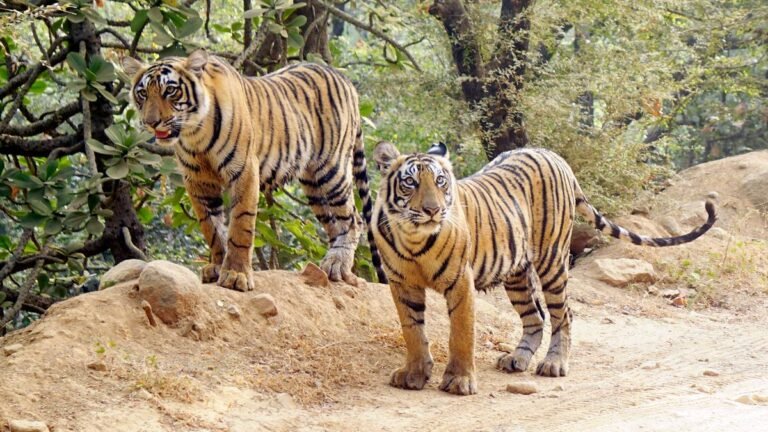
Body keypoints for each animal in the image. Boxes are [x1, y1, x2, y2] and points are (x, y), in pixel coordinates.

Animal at [121, 49, 386, 291]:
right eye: (143, 93)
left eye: (170, 91)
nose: (150, 122)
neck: (194, 133)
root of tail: (344, 79)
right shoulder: (198, 180)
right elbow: (212, 228)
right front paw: (217, 267)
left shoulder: (244, 171)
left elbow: (240, 225)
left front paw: (235, 275)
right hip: (314, 184)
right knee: (334, 223)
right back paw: (332, 265)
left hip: (331, 170)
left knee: (353, 218)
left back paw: (337, 265)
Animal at [371, 141, 716, 395]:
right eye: (411, 182)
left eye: (441, 182)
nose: (433, 210)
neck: (414, 238)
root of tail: (554, 155)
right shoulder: (402, 284)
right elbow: (412, 331)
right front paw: (414, 374)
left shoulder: (460, 283)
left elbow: (461, 333)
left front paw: (459, 381)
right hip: (516, 272)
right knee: (535, 316)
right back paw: (517, 358)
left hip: (552, 261)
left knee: (564, 315)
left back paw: (554, 364)